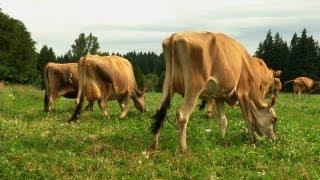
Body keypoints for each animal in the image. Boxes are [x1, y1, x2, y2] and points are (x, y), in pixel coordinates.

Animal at [150, 31, 278, 153]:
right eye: (274, 119)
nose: (274, 139)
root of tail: (175, 36)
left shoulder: (219, 96)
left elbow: (223, 120)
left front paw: (224, 142)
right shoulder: (242, 92)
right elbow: (248, 118)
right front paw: (253, 141)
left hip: (167, 85)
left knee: (159, 113)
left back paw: (154, 146)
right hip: (194, 87)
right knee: (182, 115)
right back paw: (183, 149)